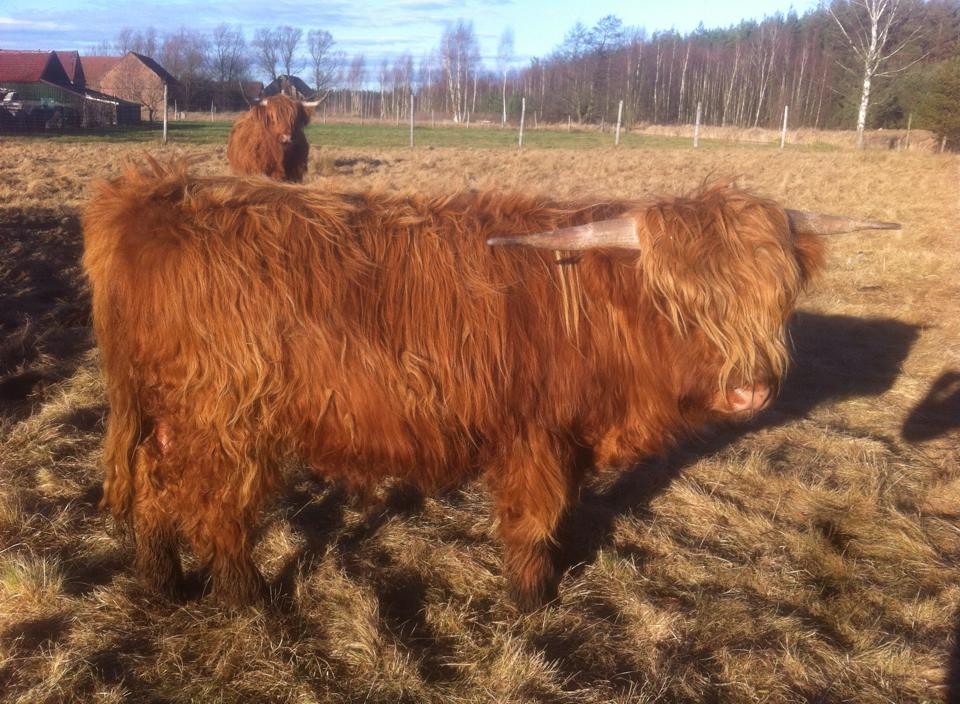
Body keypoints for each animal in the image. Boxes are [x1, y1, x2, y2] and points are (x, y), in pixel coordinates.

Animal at [82, 158, 900, 607]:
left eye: (775, 296)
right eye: (680, 300)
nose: (749, 392)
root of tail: (147, 197)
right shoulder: (535, 434)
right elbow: (535, 519)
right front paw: (533, 600)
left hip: (166, 411)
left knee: (154, 490)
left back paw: (162, 582)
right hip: (223, 417)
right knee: (215, 504)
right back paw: (246, 599)